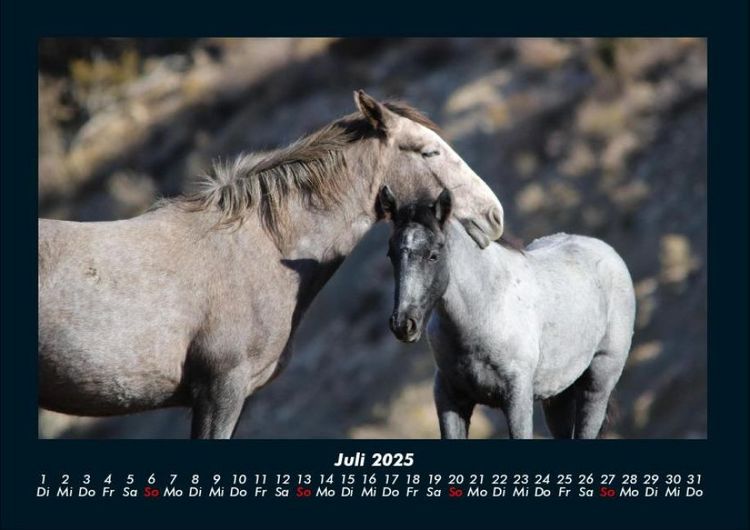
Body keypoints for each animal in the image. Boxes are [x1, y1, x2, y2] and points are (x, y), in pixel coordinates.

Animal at [380, 187, 635, 439]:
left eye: (433, 255)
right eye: (391, 254)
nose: (403, 324)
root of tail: (608, 253)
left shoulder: (517, 400)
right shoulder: (450, 399)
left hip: (597, 386)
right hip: (558, 396)